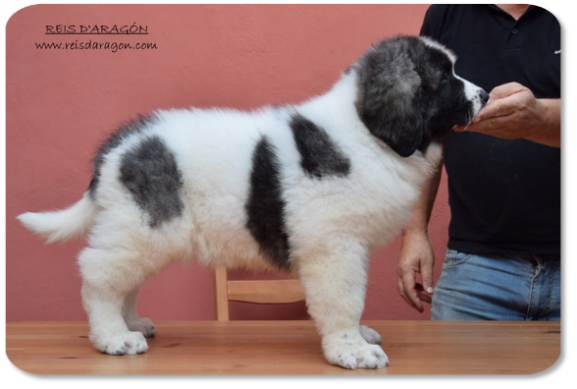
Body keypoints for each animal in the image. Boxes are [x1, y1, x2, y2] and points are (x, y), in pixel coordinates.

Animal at [18, 34, 486, 368]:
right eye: (446, 79)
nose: (483, 94)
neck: (367, 134)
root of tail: (120, 143)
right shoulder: (334, 248)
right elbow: (344, 299)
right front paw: (350, 349)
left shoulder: (348, 245)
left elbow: (352, 299)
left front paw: (359, 334)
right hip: (144, 224)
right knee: (98, 275)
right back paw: (112, 336)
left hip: (141, 230)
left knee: (124, 279)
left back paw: (130, 322)